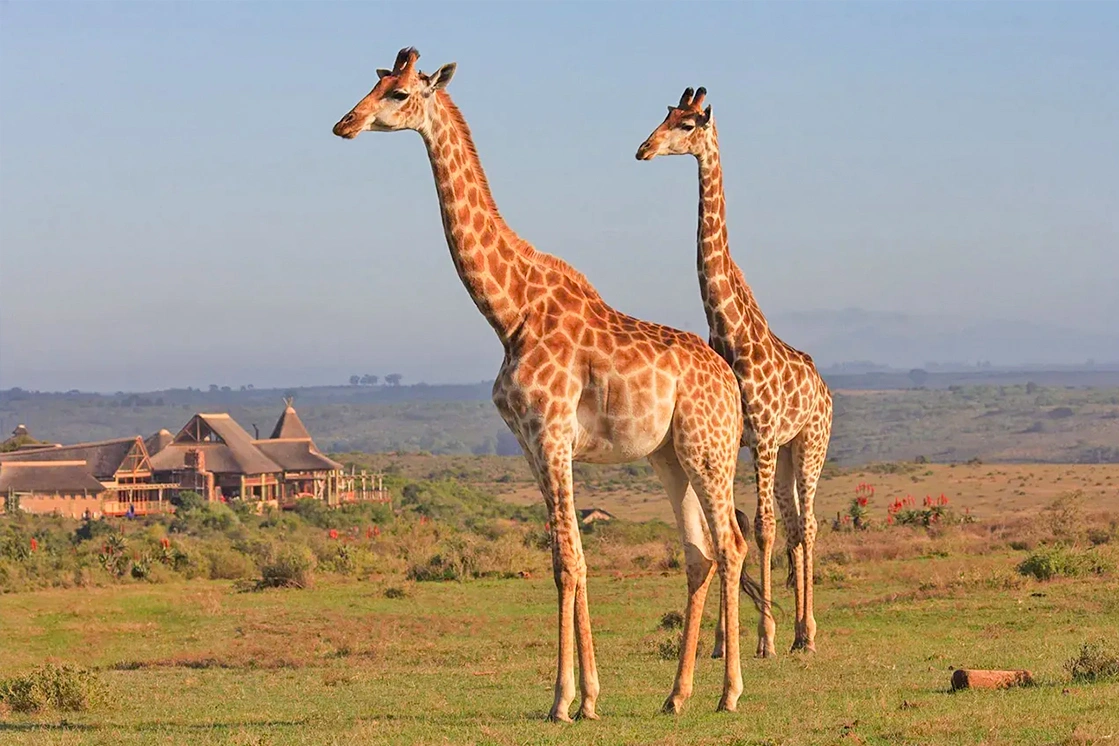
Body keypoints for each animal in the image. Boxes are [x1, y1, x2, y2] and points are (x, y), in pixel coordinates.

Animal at [333, 48, 750, 719]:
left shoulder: (553, 435)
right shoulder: (532, 444)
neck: (509, 312)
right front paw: (590, 698)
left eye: (398, 93)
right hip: (668, 457)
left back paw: (729, 692)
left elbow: (569, 563)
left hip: (707, 451)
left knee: (732, 545)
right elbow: (564, 556)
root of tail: (730, 383)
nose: (344, 123)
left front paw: (564, 700)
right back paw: (676, 695)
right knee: (699, 553)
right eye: (375, 82)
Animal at [636, 87, 834, 657]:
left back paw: (806, 634)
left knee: (806, 524)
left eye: (689, 124)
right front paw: (726, 641)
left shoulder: (761, 435)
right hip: (786, 453)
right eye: (664, 115)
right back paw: (797, 632)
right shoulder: (739, 440)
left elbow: (761, 529)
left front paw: (763, 638)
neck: (732, 333)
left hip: (809, 444)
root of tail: (825, 389)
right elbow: (737, 526)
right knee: (795, 525)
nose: (643, 149)